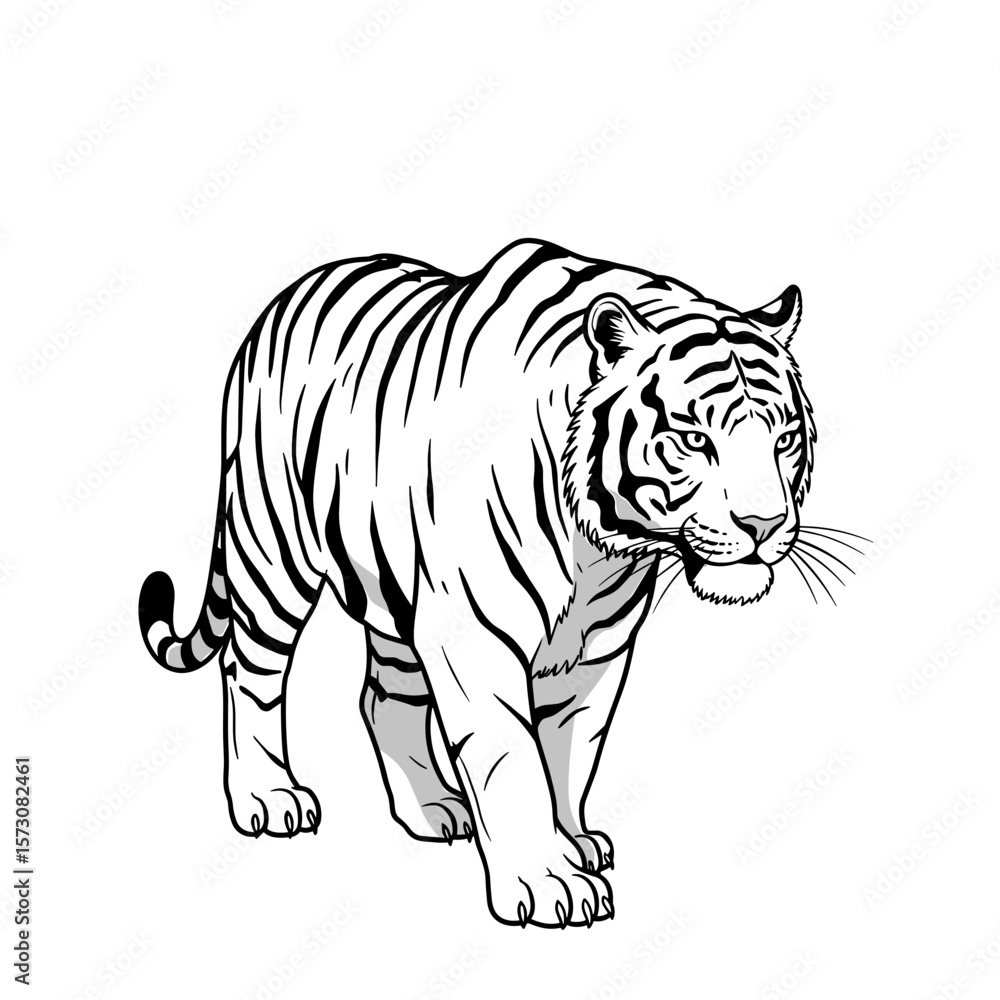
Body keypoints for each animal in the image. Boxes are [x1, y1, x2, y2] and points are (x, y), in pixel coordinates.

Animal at [139, 238, 840, 928]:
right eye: (694, 440)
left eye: (784, 439)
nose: (763, 524)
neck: (603, 552)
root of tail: (283, 298)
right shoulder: (473, 637)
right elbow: (512, 759)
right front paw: (550, 881)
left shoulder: (596, 650)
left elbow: (573, 751)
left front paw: (575, 840)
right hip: (273, 555)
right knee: (249, 672)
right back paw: (269, 797)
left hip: (394, 599)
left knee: (381, 697)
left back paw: (434, 811)